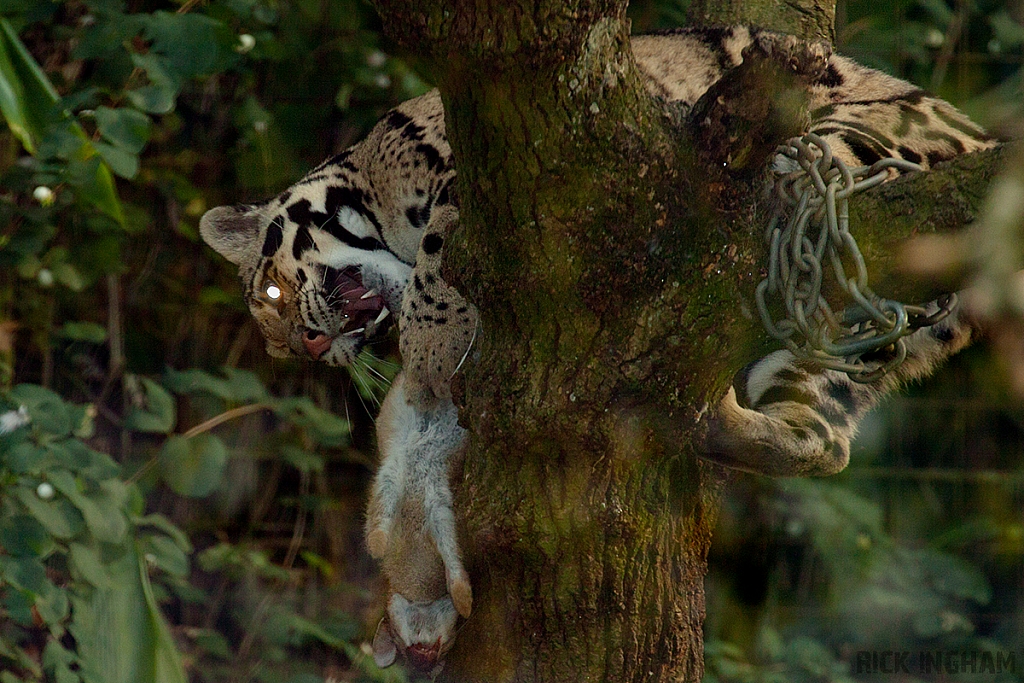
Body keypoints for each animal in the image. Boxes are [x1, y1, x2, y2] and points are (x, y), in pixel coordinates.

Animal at [197, 25, 991, 671]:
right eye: (278, 339)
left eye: (272, 294)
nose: (308, 349)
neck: (376, 190)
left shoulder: (469, 174)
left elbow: (438, 264)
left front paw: (431, 346)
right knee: (825, 435)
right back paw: (722, 423)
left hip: (868, 139)